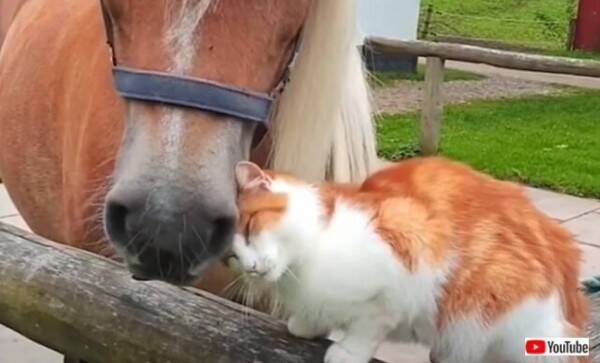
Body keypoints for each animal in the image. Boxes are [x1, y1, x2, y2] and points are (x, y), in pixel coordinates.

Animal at [231, 157, 592, 363]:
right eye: (233, 256)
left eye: (249, 228)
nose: (249, 267)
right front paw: (307, 324)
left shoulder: (405, 260)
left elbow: (368, 325)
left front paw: (347, 352)